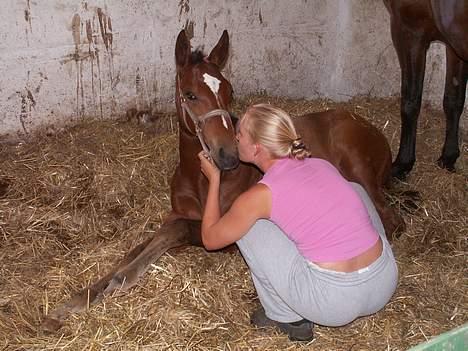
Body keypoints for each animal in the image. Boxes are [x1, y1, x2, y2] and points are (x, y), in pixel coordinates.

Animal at [42, 28, 402, 332]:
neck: (198, 180)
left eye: (230, 91)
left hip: (360, 171)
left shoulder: (222, 234)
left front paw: (122, 279)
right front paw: (74, 302)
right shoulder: (177, 214)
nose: (228, 156)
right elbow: (139, 245)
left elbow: (171, 234)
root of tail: (373, 128)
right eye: (189, 94)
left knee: (391, 220)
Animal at [384, 0, 468, 179]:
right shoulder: (453, 46)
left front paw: (403, 163)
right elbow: (453, 100)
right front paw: (448, 157)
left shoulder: (409, 29)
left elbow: (410, 102)